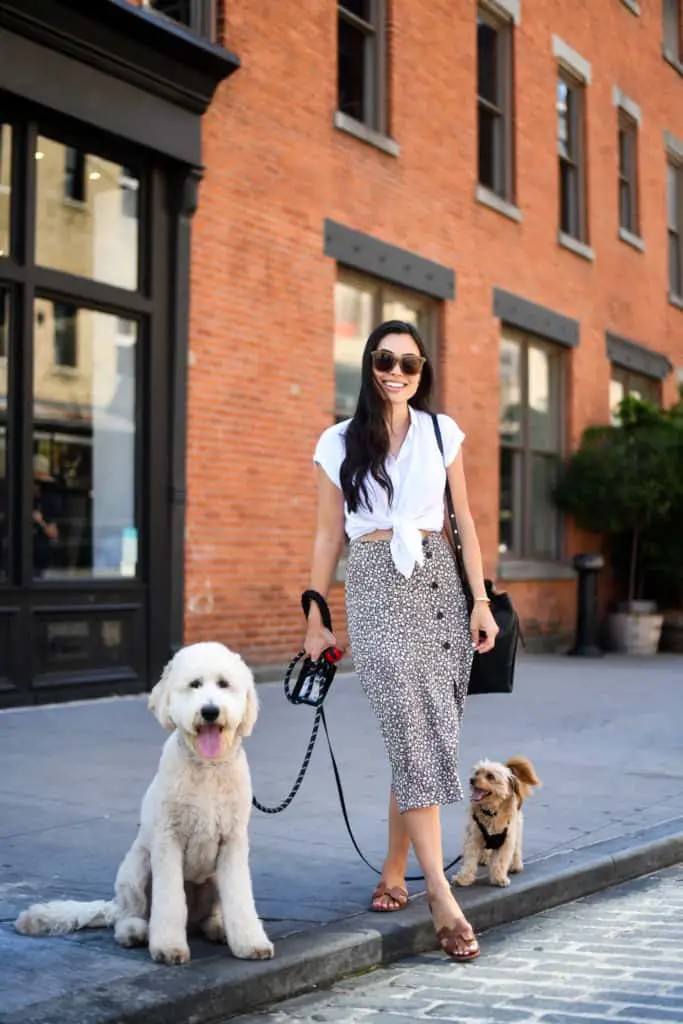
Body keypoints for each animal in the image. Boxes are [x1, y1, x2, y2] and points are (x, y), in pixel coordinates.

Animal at [450, 753, 540, 888]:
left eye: (490, 776)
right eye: (477, 773)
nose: (471, 780)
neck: (491, 813)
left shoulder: (506, 842)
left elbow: (500, 862)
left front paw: (499, 878)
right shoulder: (473, 838)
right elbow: (470, 861)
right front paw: (463, 878)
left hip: (517, 828)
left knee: (517, 848)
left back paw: (516, 865)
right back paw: (484, 858)